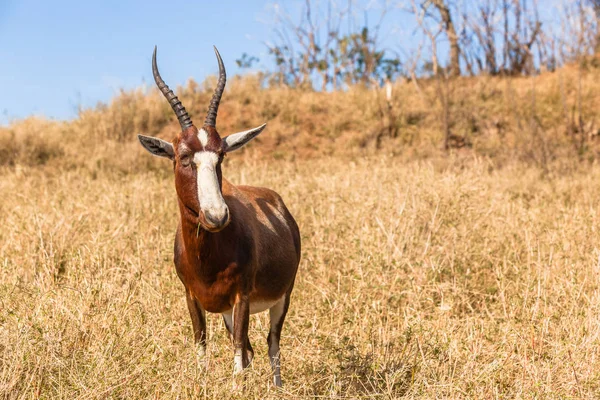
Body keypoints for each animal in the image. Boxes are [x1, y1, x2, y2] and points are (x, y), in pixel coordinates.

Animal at [139, 47, 302, 388]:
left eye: (221, 155)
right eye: (183, 157)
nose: (216, 215)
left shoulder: (242, 297)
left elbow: (239, 351)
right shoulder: (192, 297)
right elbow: (202, 344)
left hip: (282, 297)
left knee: (271, 343)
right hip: (227, 311)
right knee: (253, 350)